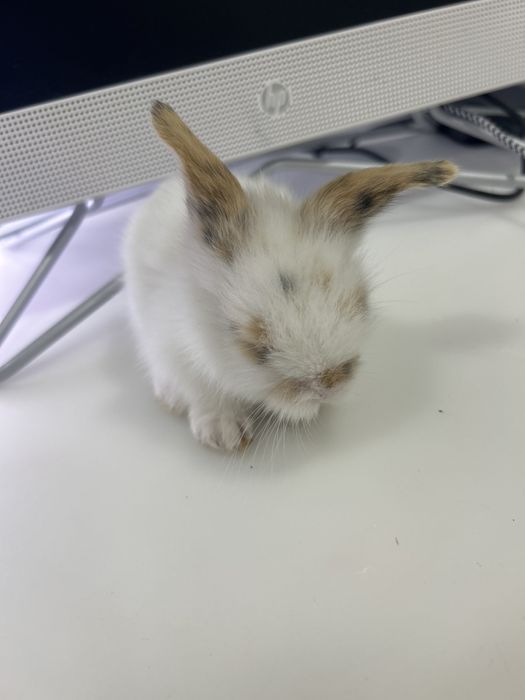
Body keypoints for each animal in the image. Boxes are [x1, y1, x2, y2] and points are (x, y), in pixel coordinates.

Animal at [123, 101, 457, 451]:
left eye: (362, 303)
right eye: (254, 346)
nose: (330, 385)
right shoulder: (171, 347)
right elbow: (202, 390)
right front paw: (226, 433)